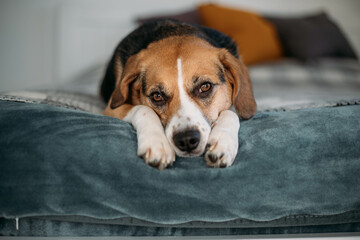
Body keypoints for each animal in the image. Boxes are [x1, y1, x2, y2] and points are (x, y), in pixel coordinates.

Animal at [100, 19, 255, 170]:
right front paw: (156, 143)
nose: (186, 140)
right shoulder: (112, 109)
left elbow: (231, 113)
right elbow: (144, 109)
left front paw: (223, 141)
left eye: (205, 87)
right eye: (157, 96)